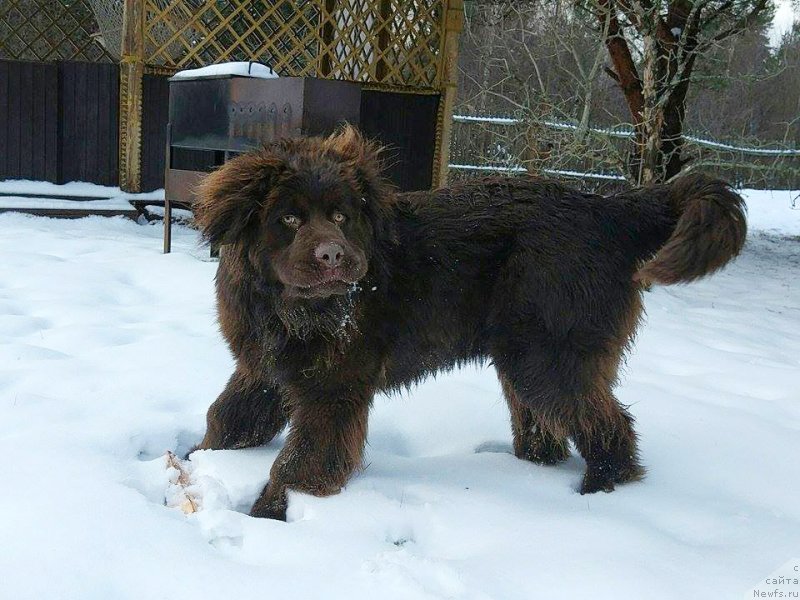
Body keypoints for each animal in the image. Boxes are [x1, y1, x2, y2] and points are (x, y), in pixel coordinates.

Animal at [191, 126, 748, 520]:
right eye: (288, 218)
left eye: (343, 217)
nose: (335, 256)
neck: (286, 308)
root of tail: (609, 210)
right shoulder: (264, 366)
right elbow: (229, 416)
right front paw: (197, 460)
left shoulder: (333, 389)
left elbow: (301, 460)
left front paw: (269, 516)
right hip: (523, 354)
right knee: (544, 426)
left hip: (550, 356)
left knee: (607, 424)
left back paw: (601, 491)